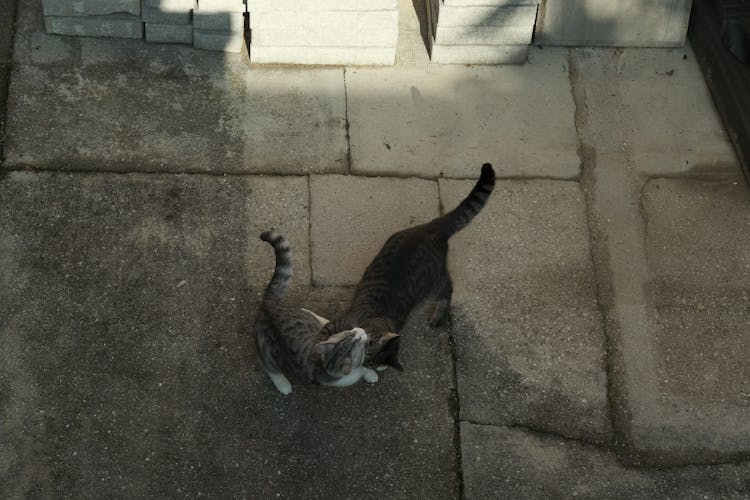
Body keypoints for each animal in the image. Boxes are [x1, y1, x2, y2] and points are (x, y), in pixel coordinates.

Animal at [256, 230, 382, 394]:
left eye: (349, 333)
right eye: (357, 341)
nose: (359, 330)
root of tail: (268, 304)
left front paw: (370, 373)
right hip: (264, 345)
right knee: (269, 366)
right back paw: (283, 384)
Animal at [318, 164, 500, 372]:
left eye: (368, 360)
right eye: (367, 354)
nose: (360, 362)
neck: (375, 316)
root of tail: (435, 228)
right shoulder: (342, 321)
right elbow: (321, 334)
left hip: (431, 287)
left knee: (448, 289)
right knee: (448, 287)